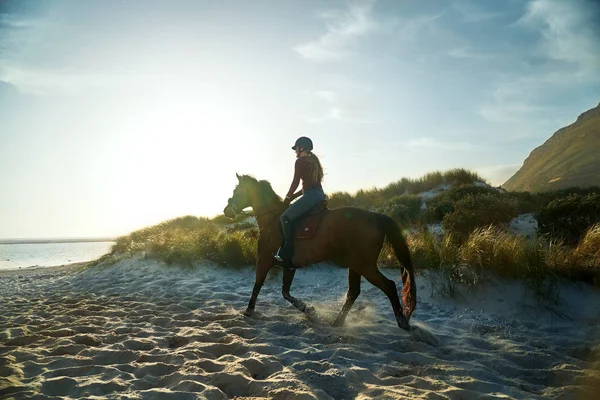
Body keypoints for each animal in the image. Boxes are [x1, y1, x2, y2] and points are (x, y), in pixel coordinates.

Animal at [223, 173, 414, 330]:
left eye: (237, 190)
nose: (226, 211)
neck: (272, 220)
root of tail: (375, 216)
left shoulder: (264, 261)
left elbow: (258, 285)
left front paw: (248, 311)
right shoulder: (289, 266)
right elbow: (286, 292)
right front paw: (310, 311)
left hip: (364, 265)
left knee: (388, 286)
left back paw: (403, 323)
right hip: (355, 264)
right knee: (353, 292)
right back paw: (337, 322)